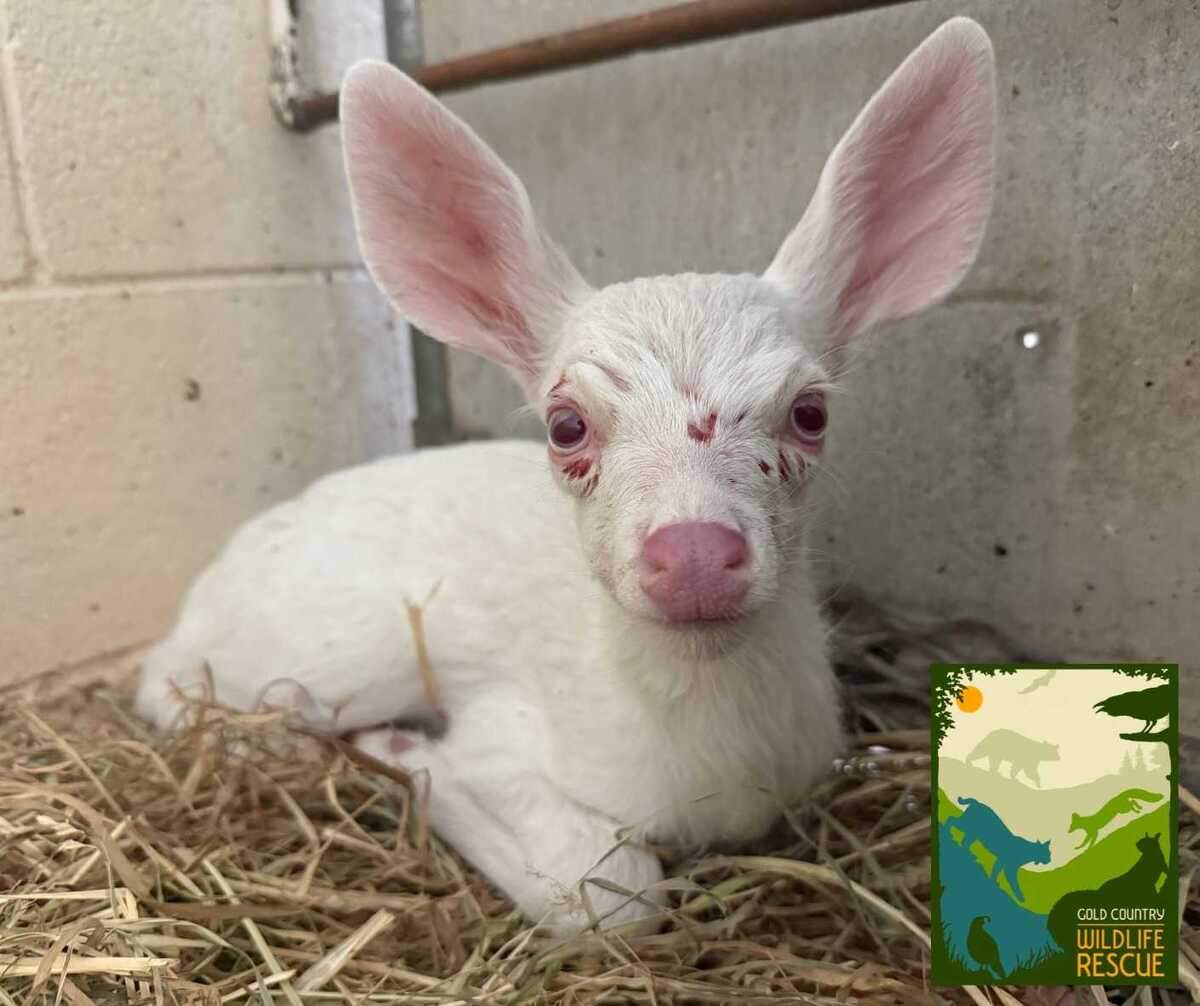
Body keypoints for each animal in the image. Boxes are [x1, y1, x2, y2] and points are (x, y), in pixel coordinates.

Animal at [136, 18, 996, 934]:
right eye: (566, 425)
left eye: (811, 411)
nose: (694, 554)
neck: (707, 765)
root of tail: (203, 591)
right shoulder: (505, 728)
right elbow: (612, 892)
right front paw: (405, 755)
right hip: (345, 643)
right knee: (176, 689)